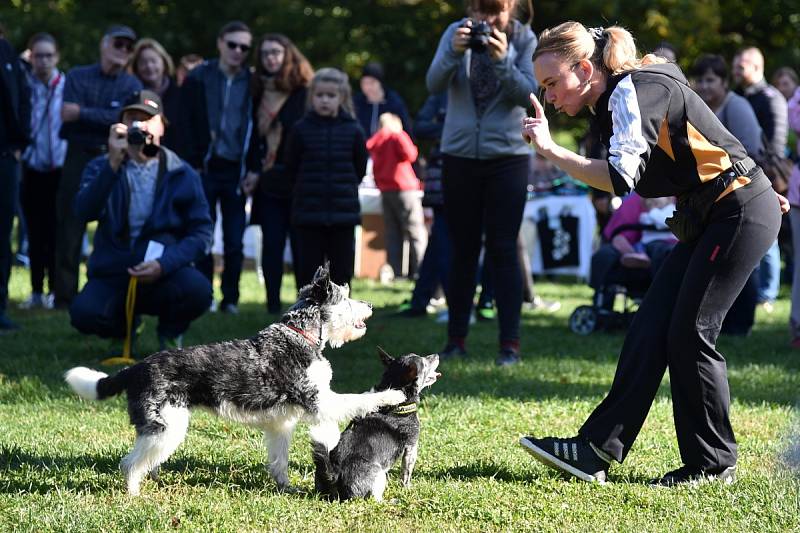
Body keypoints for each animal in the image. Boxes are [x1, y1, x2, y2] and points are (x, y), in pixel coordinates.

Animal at [64, 266, 406, 494]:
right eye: (345, 298)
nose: (370, 306)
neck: (300, 336)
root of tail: (136, 368)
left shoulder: (282, 424)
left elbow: (279, 461)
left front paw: (286, 488)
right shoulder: (320, 402)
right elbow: (360, 398)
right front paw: (392, 395)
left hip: (162, 430)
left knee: (142, 461)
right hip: (164, 427)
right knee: (130, 464)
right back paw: (135, 494)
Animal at [312, 348, 440, 500]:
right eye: (425, 363)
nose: (437, 355)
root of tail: (334, 474)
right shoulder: (411, 447)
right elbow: (406, 473)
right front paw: (407, 489)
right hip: (379, 475)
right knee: (374, 499)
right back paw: (391, 500)